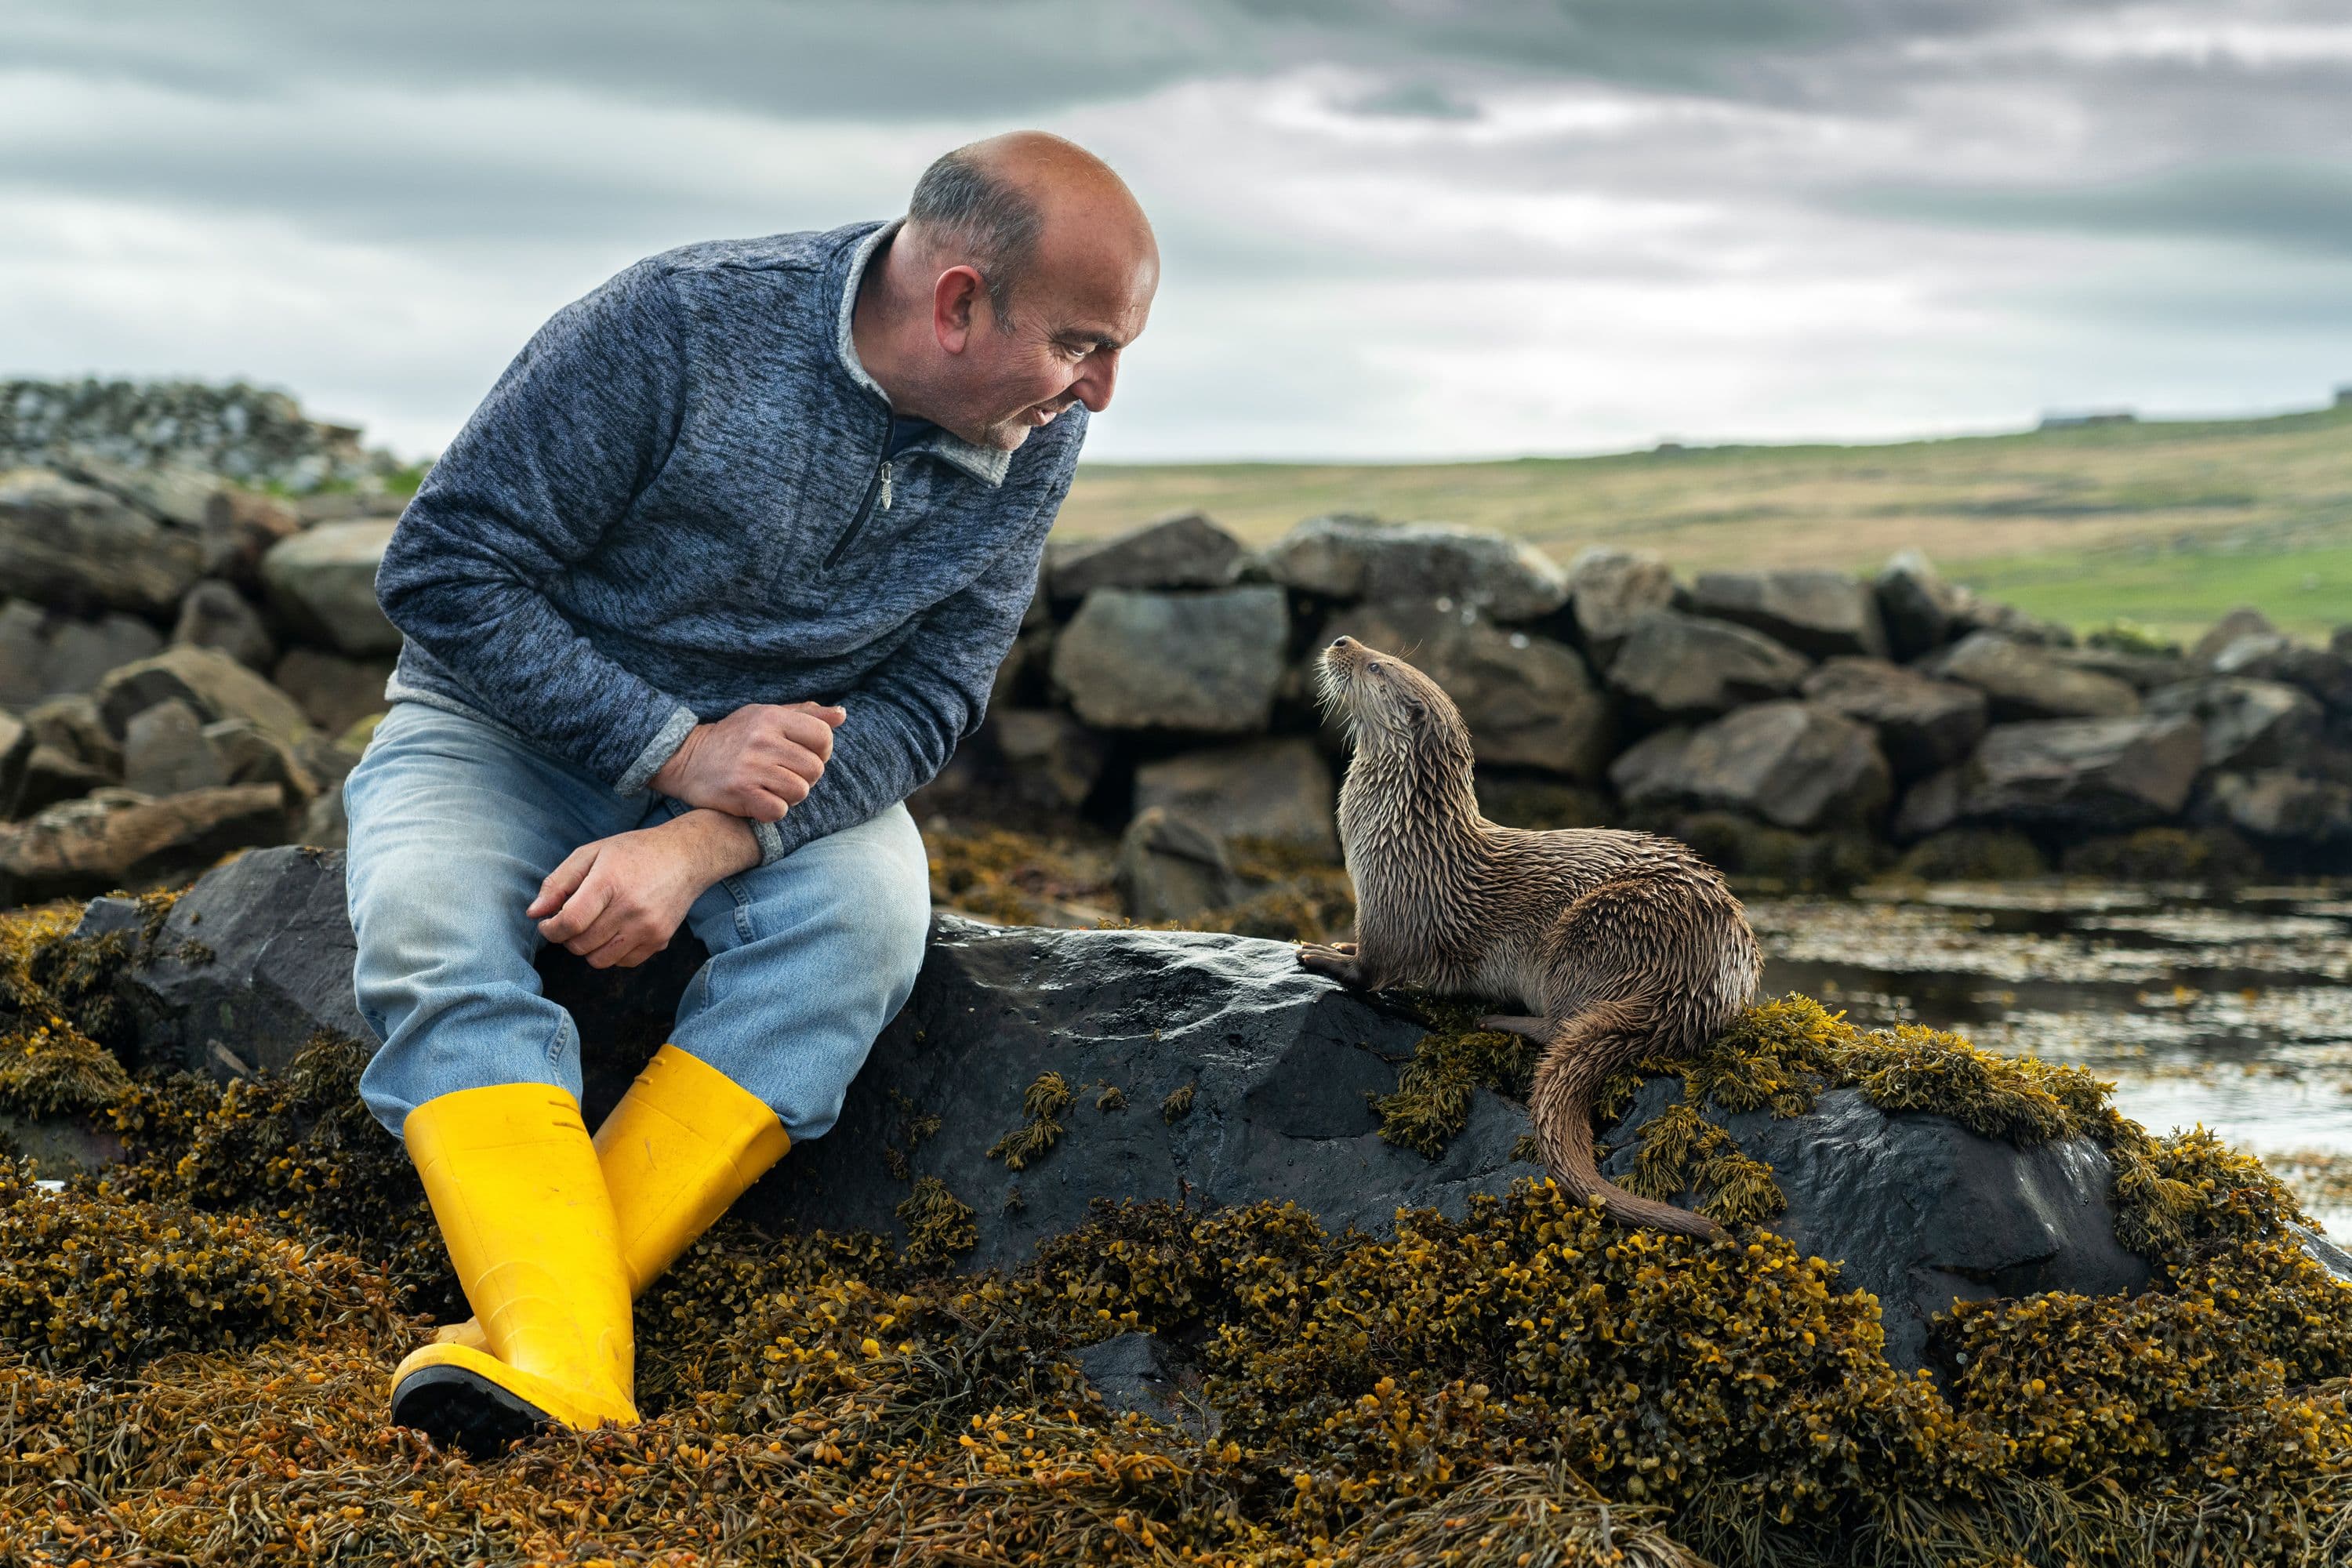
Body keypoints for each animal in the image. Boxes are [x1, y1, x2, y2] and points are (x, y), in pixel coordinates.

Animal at [1301, 635, 1763, 1240]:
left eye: (1378, 666)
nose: (1341, 642)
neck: (1404, 832)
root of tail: (1702, 985)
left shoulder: (1395, 901)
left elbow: (1374, 970)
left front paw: (1322, 956)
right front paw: (1337, 944)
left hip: (1594, 931)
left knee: (1562, 1023)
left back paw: (1500, 1019)